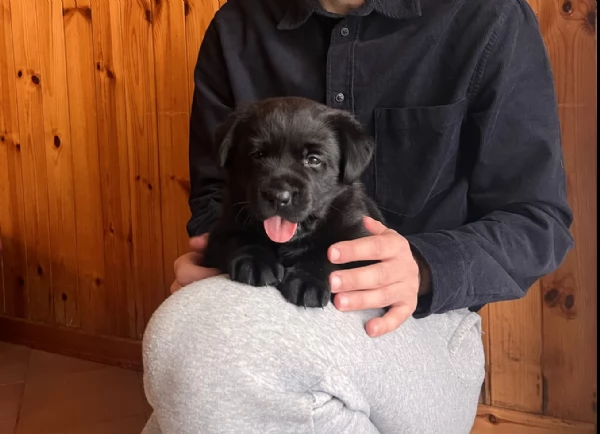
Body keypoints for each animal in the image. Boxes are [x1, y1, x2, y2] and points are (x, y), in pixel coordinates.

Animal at [204, 96, 382, 306]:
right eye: (257, 155)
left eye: (313, 160)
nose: (278, 196)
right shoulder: (220, 233)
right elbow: (240, 238)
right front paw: (255, 261)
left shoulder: (358, 238)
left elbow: (330, 253)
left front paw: (308, 279)